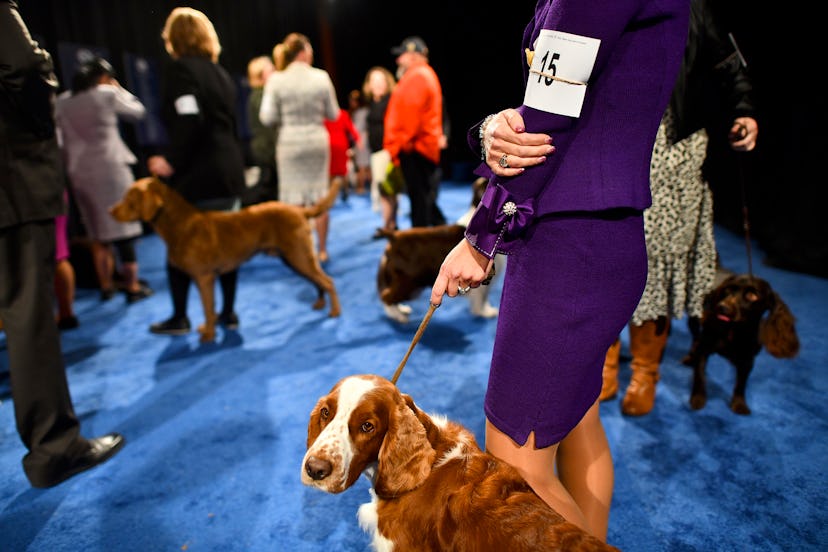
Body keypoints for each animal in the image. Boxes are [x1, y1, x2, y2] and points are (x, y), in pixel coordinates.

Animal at [111, 177, 340, 340]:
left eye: (128, 198)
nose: (110, 210)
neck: (180, 227)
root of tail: (300, 209)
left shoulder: (204, 276)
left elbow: (207, 306)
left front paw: (209, 336)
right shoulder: (205, 277)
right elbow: (211, 306)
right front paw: (208, 327)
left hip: (298, 255)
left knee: (328, 281)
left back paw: (335, 312)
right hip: (293, 258)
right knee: (318, 280)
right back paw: (320, 303)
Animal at [684, 274, 800, 416]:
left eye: (752, 296)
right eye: (728, 289)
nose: (722, 307)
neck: (734, 330)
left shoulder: (748, 361)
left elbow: (741, 384)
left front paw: (739, 404)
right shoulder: (704, 348)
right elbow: (699, 375)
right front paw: (698, 398)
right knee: (695, 338)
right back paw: (690, 357)